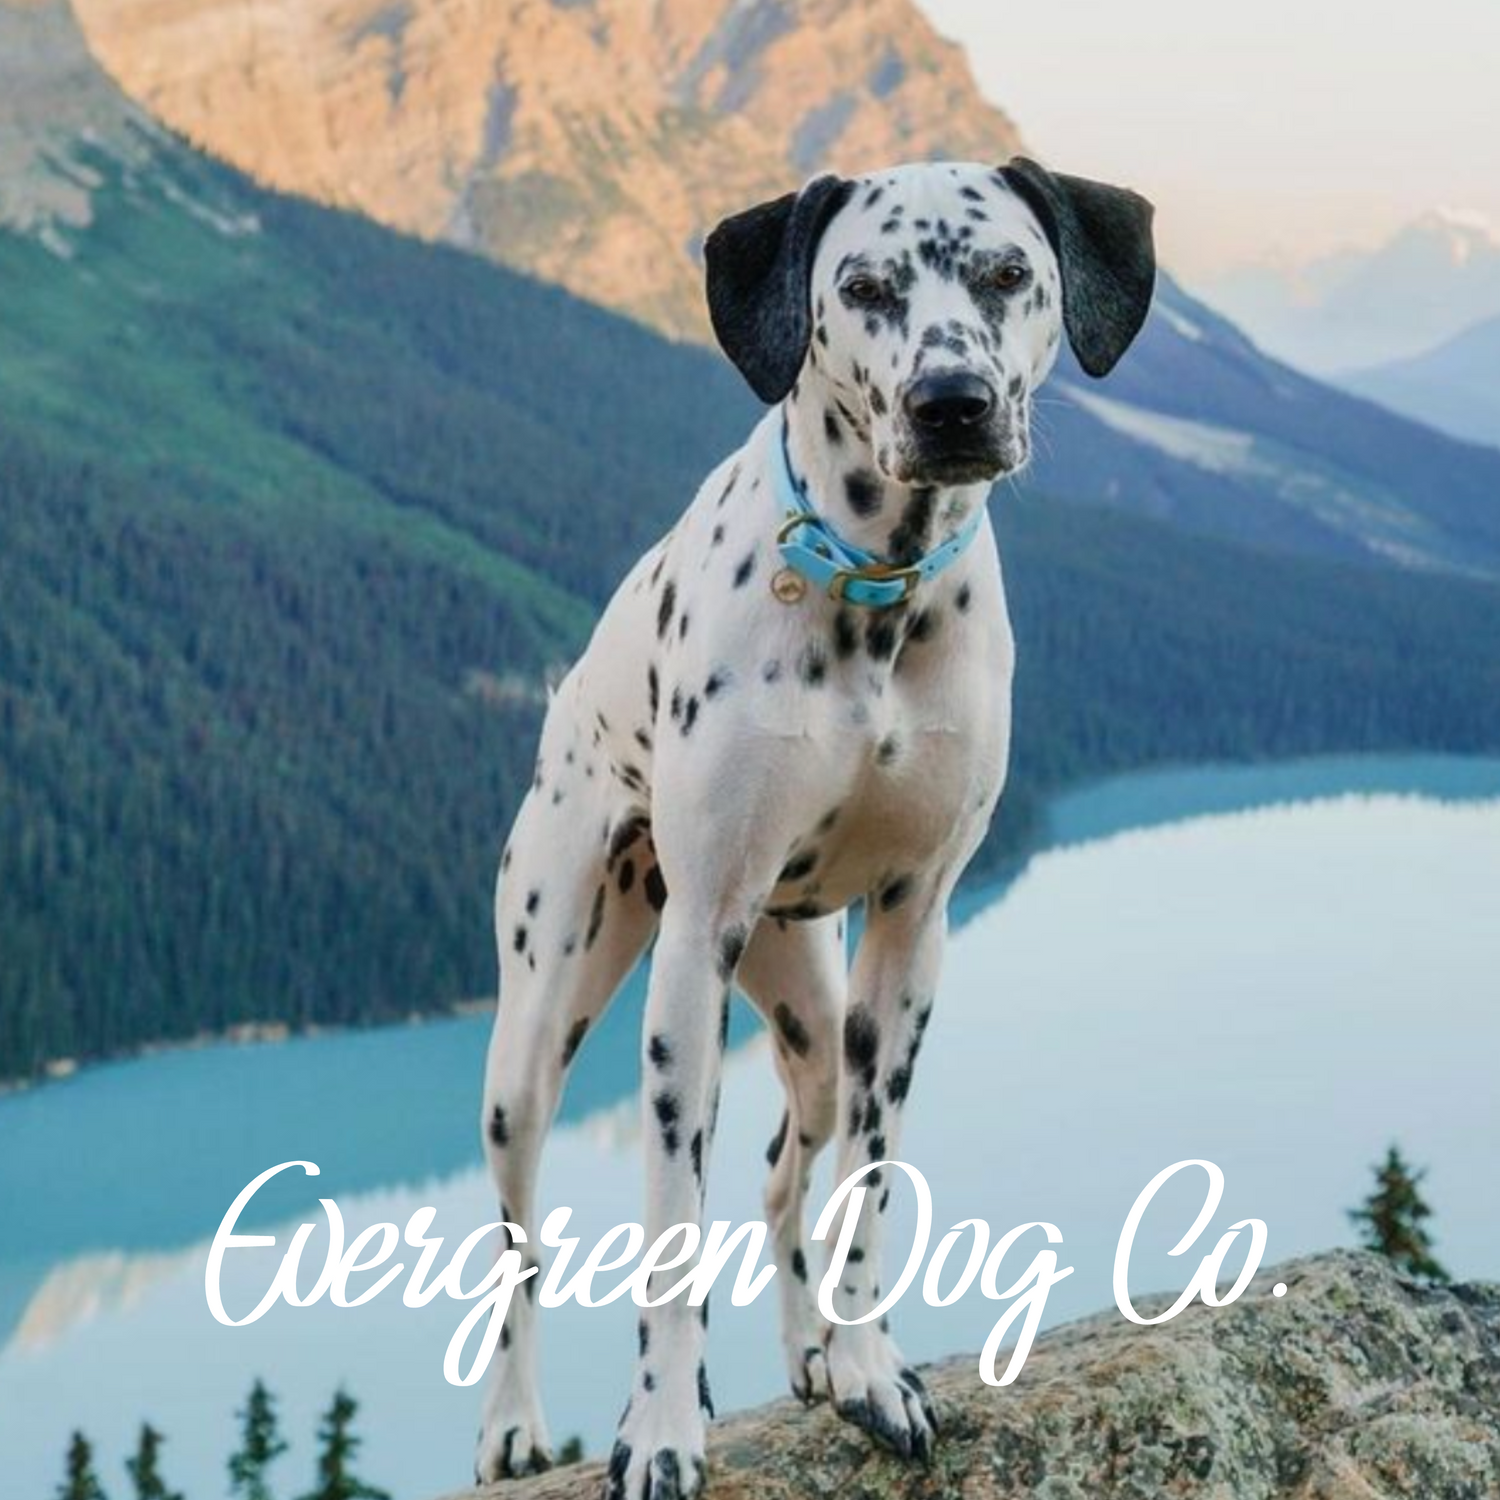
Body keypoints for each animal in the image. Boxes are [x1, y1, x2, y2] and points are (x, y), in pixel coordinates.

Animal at [474, 158, 1152, 1494]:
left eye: (1010, 272)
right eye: (865, 286)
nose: (952, 403)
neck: (873, 589)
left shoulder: (910, 933)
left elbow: (864, 1189)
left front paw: (869, 1369)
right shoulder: (698, 944)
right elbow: (668, 1231)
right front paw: (659, 1429)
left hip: (808, 1007)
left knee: (792, 1167)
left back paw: (810, 1355)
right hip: (538, 1022)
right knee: (521, 1237)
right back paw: (515, 1424)